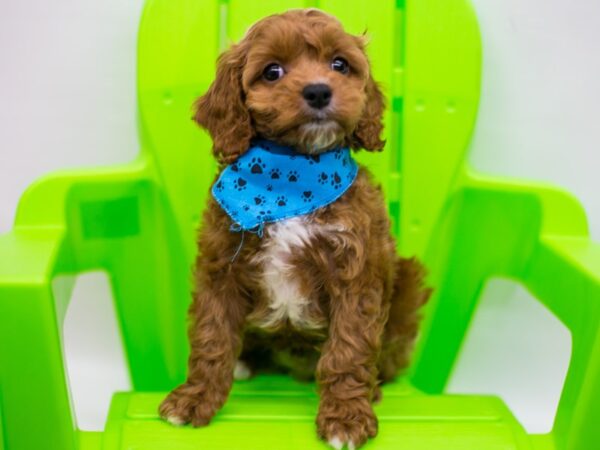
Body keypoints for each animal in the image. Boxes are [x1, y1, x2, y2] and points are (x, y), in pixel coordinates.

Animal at [159, 7, 432, 450]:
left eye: (339, 65)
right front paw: (195, 397)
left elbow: (348, 349)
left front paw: (345, 417)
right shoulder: (221, 265)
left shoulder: (357, 273)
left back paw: (374, 386)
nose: (319, 92)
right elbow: (211, 336)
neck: (292, 176)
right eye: (272, 71)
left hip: (407, 279)